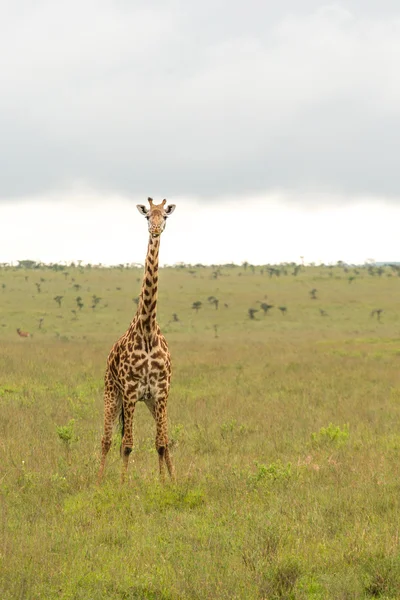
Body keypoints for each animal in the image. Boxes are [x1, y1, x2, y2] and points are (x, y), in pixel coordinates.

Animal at [97, 199, 176, 486]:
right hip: (112, 393)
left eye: (165, 216)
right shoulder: (130, 391)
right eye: (147, 216)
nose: (155, 229)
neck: (147, 330)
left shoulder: (161, 392)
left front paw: (166, 483)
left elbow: (162, 443)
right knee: (107, 439)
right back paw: (98, 481)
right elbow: (127, 445)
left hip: (150, 402)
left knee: (166, 439)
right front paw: (122, 485)